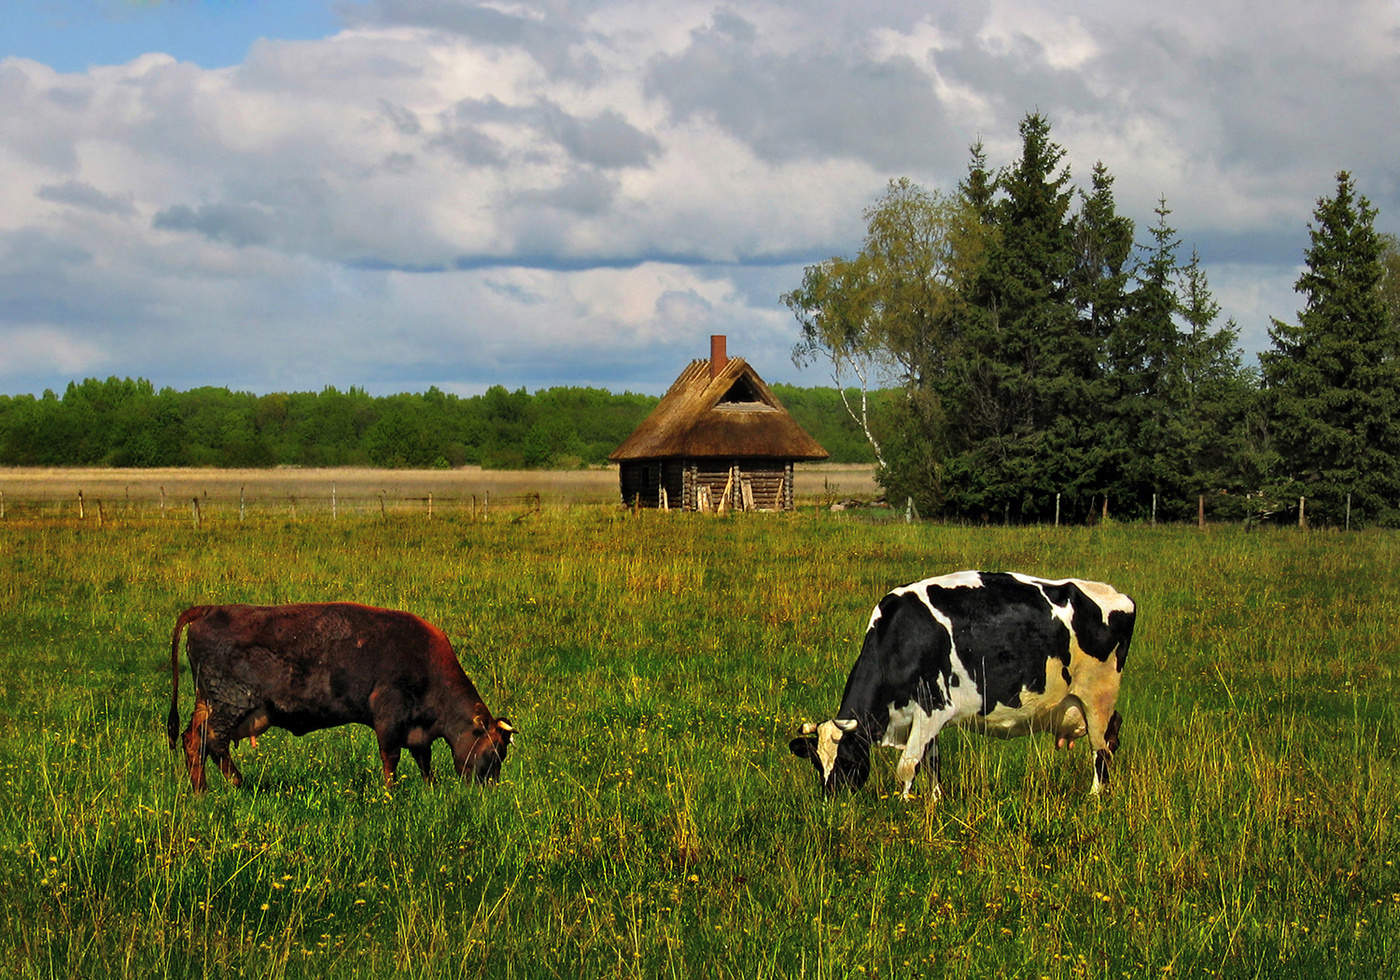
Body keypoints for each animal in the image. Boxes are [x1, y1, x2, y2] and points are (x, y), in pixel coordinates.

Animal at [164, 602, 515, 795]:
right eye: (493, 753)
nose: (489, 789)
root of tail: (209, 610)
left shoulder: (418, 732)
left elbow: (423, 761)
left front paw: (430, 788)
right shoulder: (389, 719)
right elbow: (391, 759)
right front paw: (391, 793)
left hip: (209, 704)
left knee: (195, 740)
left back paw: (206, 790)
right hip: (228, 706)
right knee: (211, 742)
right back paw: (230, 785)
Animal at [789, 571, 1136, 800]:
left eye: (847, 760)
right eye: (818, 763)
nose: (831, 800)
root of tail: (1117, 594)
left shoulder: (934, 706)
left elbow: (907, 765)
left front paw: (904, 804)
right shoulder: (925, 718)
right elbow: (931, 762)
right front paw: (935, 800)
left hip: (1097, 696)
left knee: (1101, 748)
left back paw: (1095, 795)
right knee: (1113, 733)